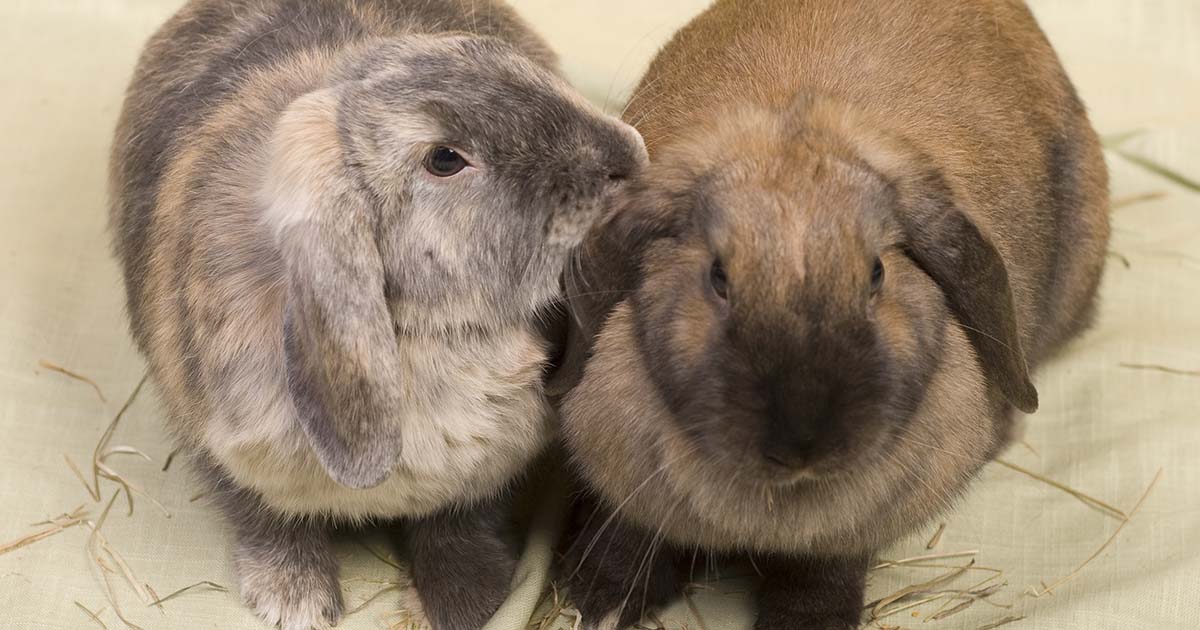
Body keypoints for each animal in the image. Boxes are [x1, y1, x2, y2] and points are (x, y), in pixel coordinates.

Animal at [107, 1, 647, 629]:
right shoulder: (223, 447)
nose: (630, 156)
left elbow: (460, 525)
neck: (428, 334)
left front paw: (467, 602)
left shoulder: (485, 472)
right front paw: (296, 599)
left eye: (500, 59)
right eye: (444, 158)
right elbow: (262, 515)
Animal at [555, 0, 1110, 628]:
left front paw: (807, 622)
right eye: (718, 276)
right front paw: (600, 597)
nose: (803, 444)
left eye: (877, 274)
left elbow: (822, 572)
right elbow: (626, 528)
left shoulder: (842, 538)